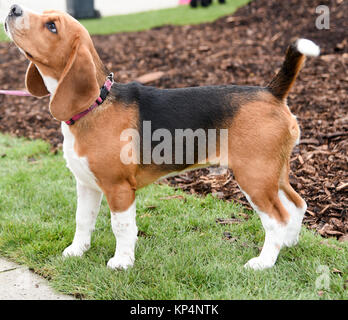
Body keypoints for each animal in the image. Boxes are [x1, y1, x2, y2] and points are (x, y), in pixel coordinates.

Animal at [6, 5, 320, 270]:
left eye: (52, 26)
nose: (13, 8)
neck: (96, 103)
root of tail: (272, 92)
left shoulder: (119, 188)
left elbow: (121, 227)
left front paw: (122, 262)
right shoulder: (86, 184)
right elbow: (83, 220)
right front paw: (76, 251)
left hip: (254, 177)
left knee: (277, 218)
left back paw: (264, 262)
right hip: (274, 174)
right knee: (297, 205)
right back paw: (288, 244)